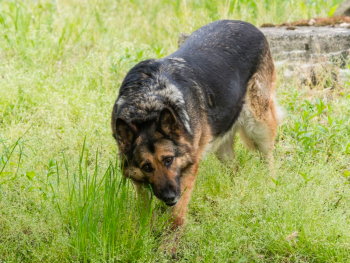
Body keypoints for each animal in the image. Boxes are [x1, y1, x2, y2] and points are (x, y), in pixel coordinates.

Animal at [110, 20, 284, 231]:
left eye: (168, 159)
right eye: (146, 166)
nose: (169, 197)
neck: (148, 103)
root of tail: (249, 25)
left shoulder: (188, 167)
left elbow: (177, 214)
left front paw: (172, 237)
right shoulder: (139, 180)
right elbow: (145, 210)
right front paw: (144, 233)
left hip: (259, 125)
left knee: (268, 160)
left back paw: (270, 187)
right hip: (222, 146)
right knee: (234, 168)